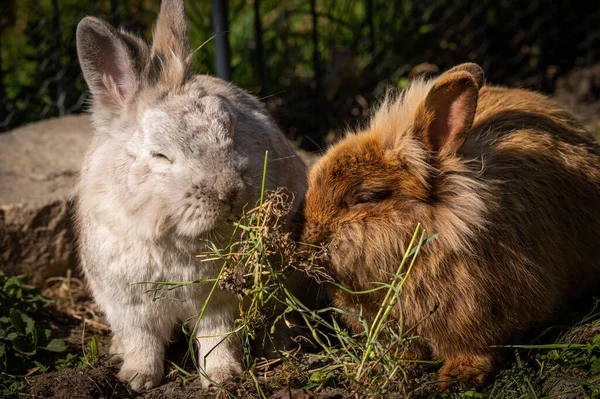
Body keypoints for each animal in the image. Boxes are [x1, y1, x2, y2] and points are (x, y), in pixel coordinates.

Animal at [75, 0, 308, 392]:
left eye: (230, 132)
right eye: (160, 156)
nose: (230, 193)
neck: (175, 236)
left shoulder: (219, 302)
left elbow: (218, 339)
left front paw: (222, 378)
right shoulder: (127, 305)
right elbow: (142, 341)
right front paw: (138, 379)